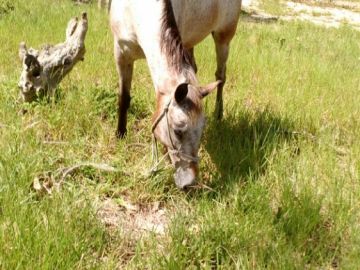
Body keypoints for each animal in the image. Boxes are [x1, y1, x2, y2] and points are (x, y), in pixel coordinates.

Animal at [109, 0, 242, 189]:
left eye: (202, 129)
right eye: (178, 130)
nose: (190, 182)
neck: (136, 10)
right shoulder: (121, 54)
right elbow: (123, 98)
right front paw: (120, 134)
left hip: (223, 37)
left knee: (221, 76)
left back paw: (219, 113)